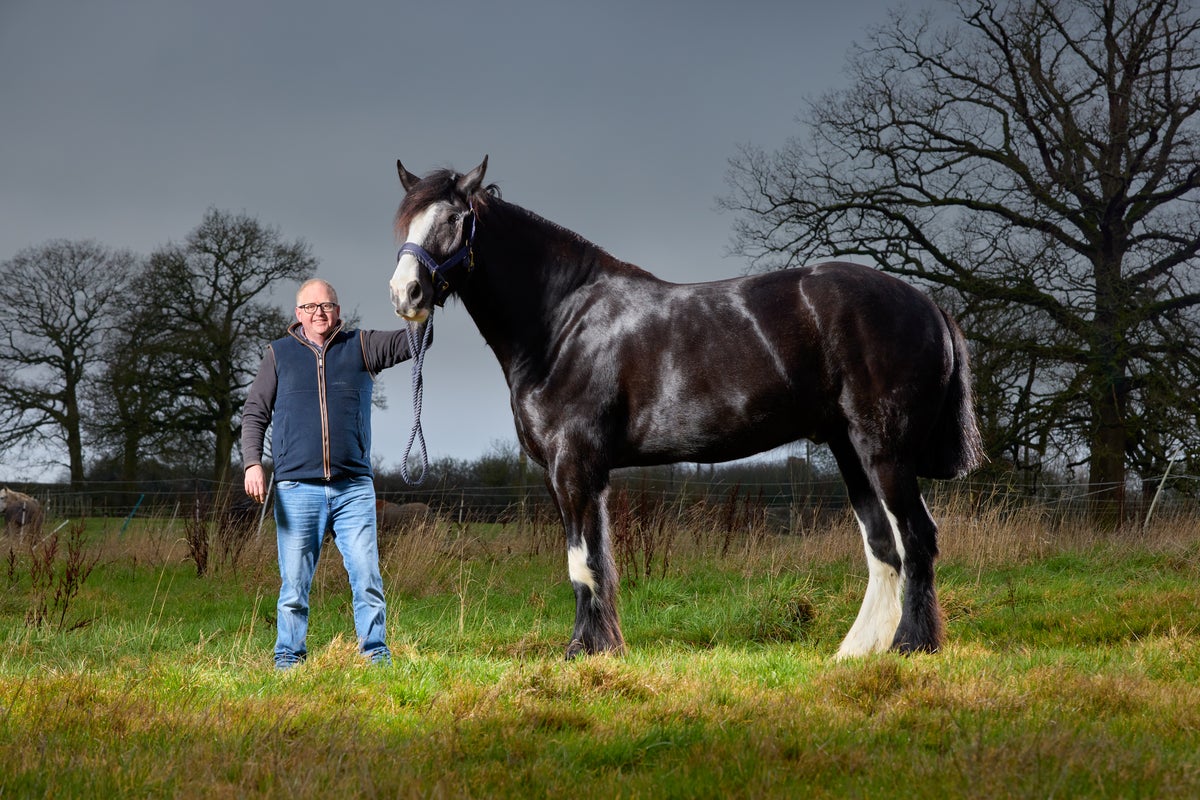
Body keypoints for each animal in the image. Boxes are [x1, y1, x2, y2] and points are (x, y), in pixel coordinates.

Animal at [388, 157, 984, 660]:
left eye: (453, 218)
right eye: (405, 222)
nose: (405, 294)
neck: (563, 322)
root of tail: (926, 302)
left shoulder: (572, 464)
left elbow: (582, 562)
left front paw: (581, 651)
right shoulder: (580, 473)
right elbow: (598, 559)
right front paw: (605, 647)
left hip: (884, 451)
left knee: (917, 538)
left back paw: (911, 645)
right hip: (849, 451)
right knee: (884, 547)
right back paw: (857, 651)